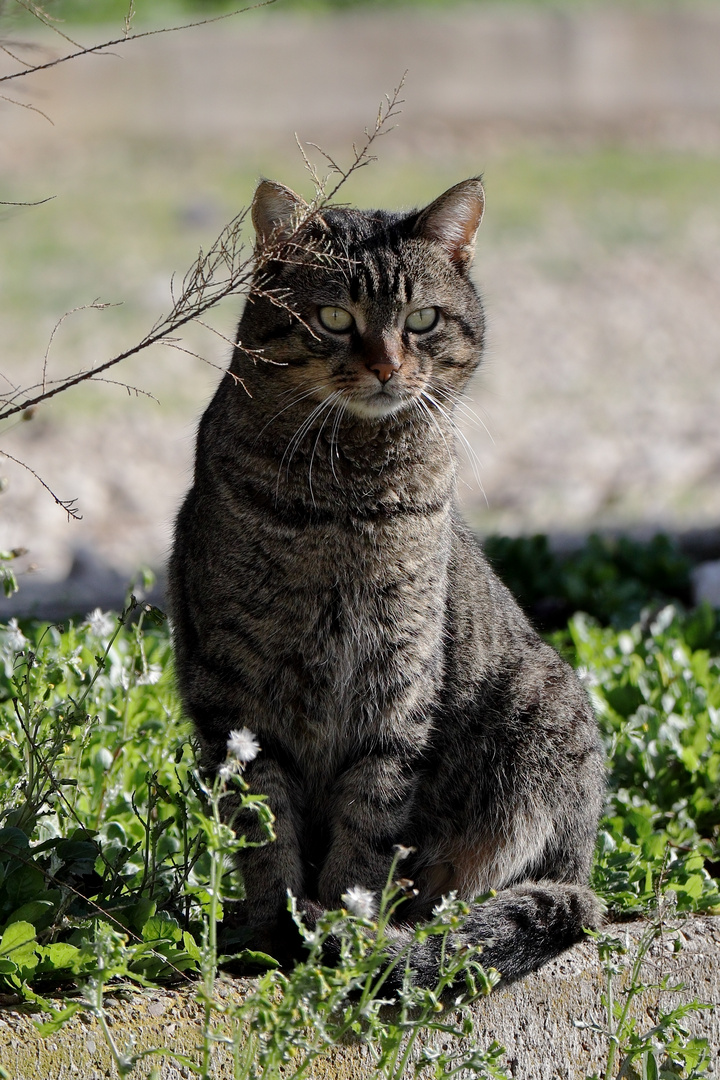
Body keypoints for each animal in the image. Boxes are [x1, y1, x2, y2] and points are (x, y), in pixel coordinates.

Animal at [167, 174, 604, 989]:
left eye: (421, 320)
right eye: (335, 318)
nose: (386, 367)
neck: (350, 489)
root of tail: (587, 874)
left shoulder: (397, 680)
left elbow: (368, 825)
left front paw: (342, 931)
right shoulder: (233, 694)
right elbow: (264, 828)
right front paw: (270, 934)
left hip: (542, 724)